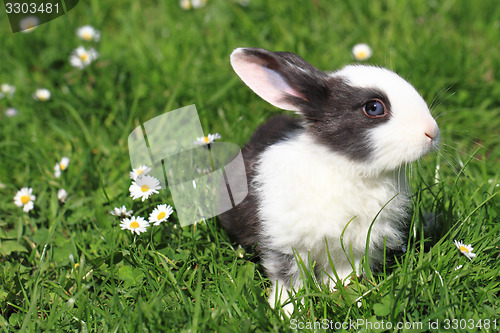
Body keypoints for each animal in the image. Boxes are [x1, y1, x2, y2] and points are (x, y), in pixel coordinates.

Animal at [219, 47, 438, 314]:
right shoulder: (285, 242)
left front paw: (346, 296)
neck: (347, 167)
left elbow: (344, 275)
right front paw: (287, 312)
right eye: (374, 108)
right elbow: (288, 279)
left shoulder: (353, 248)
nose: (432, 132)